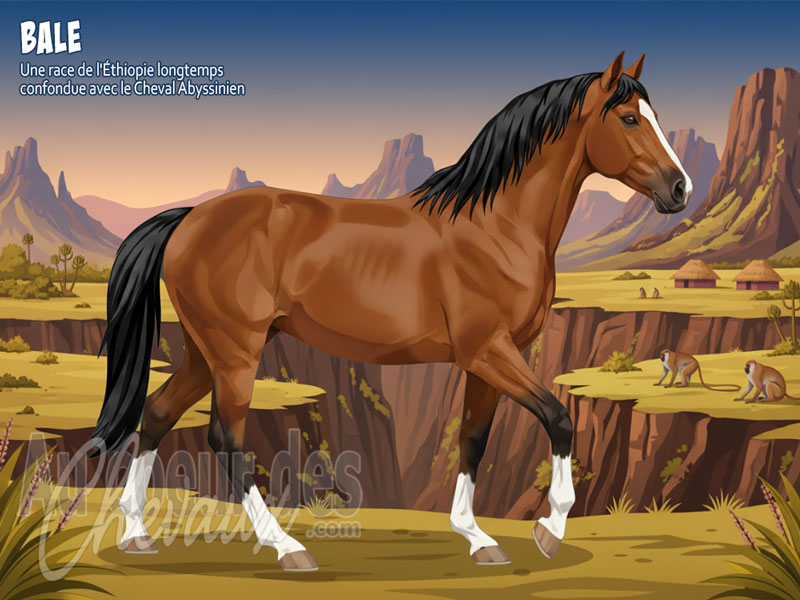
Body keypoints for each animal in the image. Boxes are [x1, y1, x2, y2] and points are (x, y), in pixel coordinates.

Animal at [92, 51, 691, 571]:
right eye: (630, 118)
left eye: (657, 118)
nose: (680, 189)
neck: (496, 226)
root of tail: (190, 217)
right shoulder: (488, 351)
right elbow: (559, 419)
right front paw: (549, 531)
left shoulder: (489, 362)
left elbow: (473, 440)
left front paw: (478, 538)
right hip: (236, 351)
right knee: (226, 438)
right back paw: (287, 548)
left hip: (204, 350)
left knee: (157, 413)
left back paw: (136, 534)